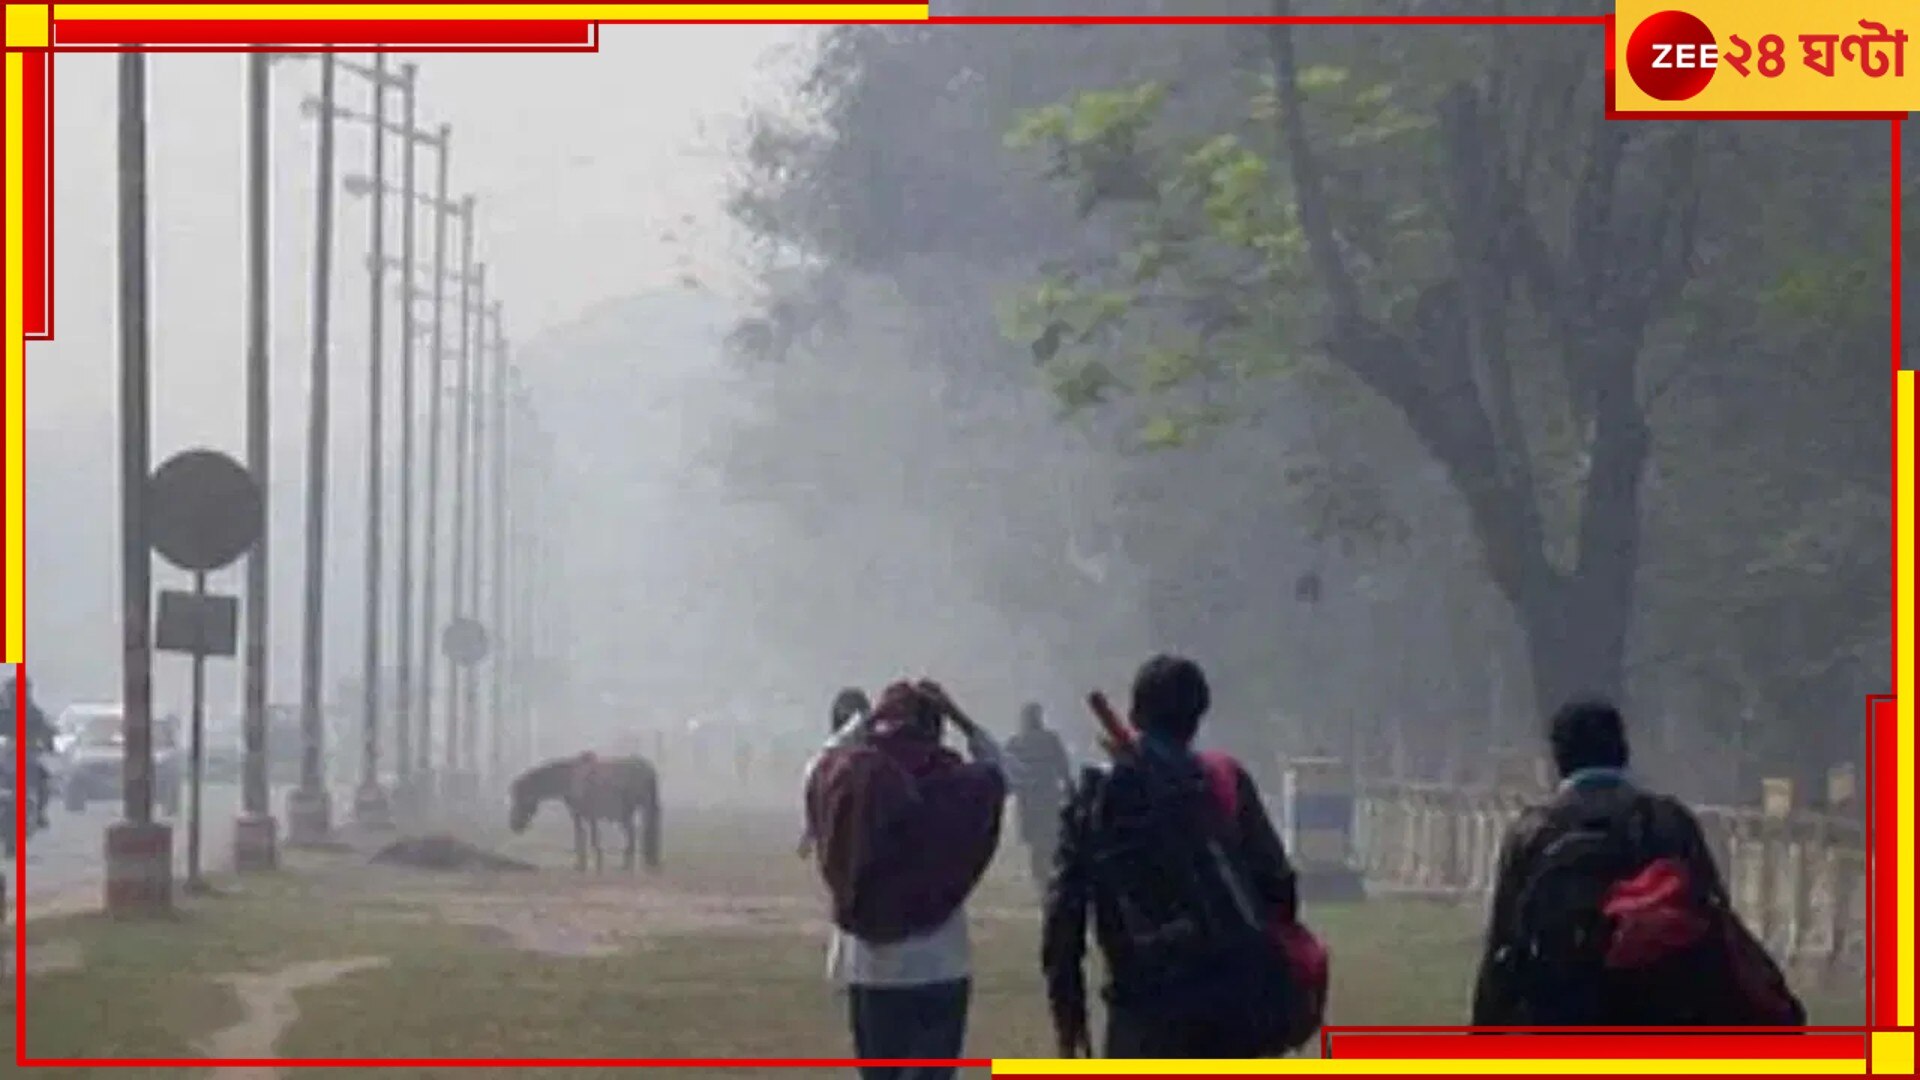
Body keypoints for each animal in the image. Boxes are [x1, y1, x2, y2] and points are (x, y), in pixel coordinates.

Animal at [506, 753, 664, 868]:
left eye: (520, 799)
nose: (514, 825)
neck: (570, 779)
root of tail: (647, 769)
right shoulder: (589, 815)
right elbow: (590, 837)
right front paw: (593, 862)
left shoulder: (579, 814)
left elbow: (582, 836)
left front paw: (584, 864)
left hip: (629, 812)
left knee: (632, 835)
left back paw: (628, 866)